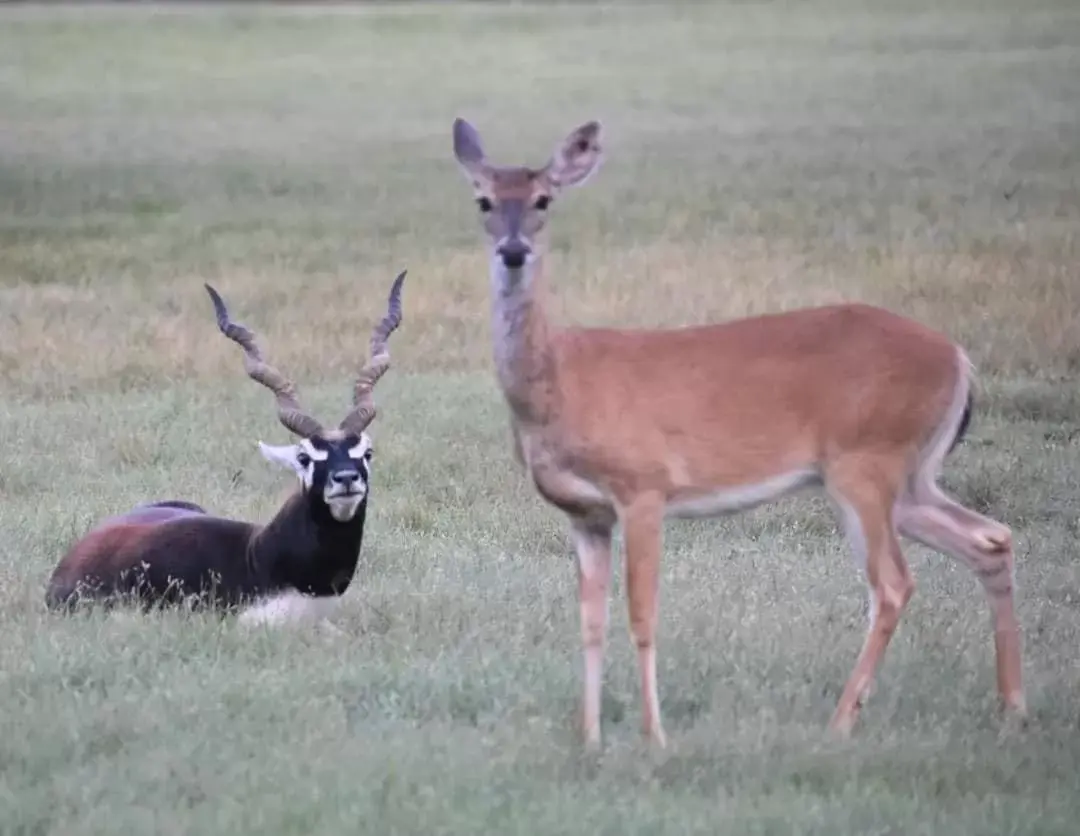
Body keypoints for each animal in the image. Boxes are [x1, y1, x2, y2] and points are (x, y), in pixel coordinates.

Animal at [451, 116, 1023, 747]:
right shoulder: (586, 513)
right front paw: (591, 739)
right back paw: (1012, 708)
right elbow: (590, 623)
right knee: (990, 539)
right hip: (911, 475)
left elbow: (642, 614)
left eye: (543, 200)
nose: (513, 251)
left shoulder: (644, 486)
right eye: (483, 199)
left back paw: (840, 722)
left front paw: (654, 738)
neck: (559, 382)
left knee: (894, 584)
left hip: (867, 460)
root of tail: (960, 359)